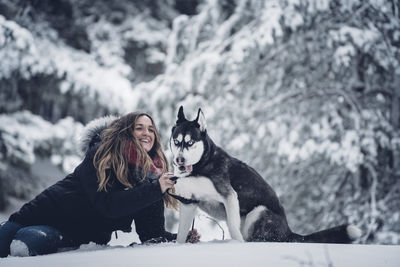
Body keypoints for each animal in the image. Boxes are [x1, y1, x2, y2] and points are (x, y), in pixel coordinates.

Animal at [169, 107, 362, 245]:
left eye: (190, 142)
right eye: (177, 142)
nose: (179, 159)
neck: (200, 166)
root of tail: (288, 231)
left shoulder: (229, 196)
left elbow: (233, 228)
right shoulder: (189, 202)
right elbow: (181, 234)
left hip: (258, 212)